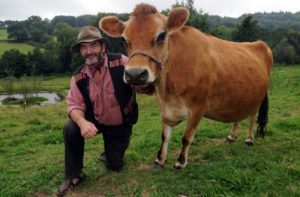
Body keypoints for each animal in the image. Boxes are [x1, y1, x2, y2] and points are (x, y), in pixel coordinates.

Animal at [99, 3, 274, 169]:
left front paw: (180, 162)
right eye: (123, 39)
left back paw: (249, 139)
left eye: (162, 35)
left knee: (252, 117)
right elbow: (165, 136)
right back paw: (232, 136)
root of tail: (260, 43)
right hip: (240, 96)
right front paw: (159, 159)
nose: (135, 74)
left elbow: (186, 137)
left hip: (257, 98)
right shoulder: (165, 109)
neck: (169, 90)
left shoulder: (198, 108)